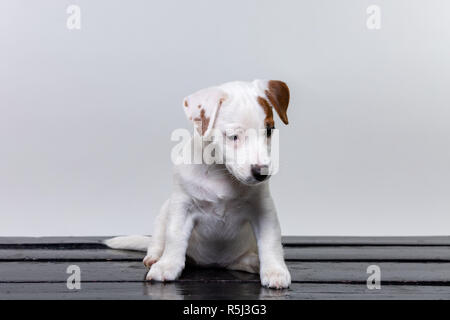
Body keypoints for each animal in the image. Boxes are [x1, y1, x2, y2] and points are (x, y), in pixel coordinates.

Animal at [107, 80, 294, 290]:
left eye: (269, 130)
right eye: (233, 136)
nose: (262, 173)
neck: (221, 173)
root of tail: (215, 263)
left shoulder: (263, 210)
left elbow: (271, 241)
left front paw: (275, 270)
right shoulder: (182, 207)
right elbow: (174, 237)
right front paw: (166, 266)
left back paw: (254, 261)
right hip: (165, 211)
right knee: (157, 239)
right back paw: (155, 257)